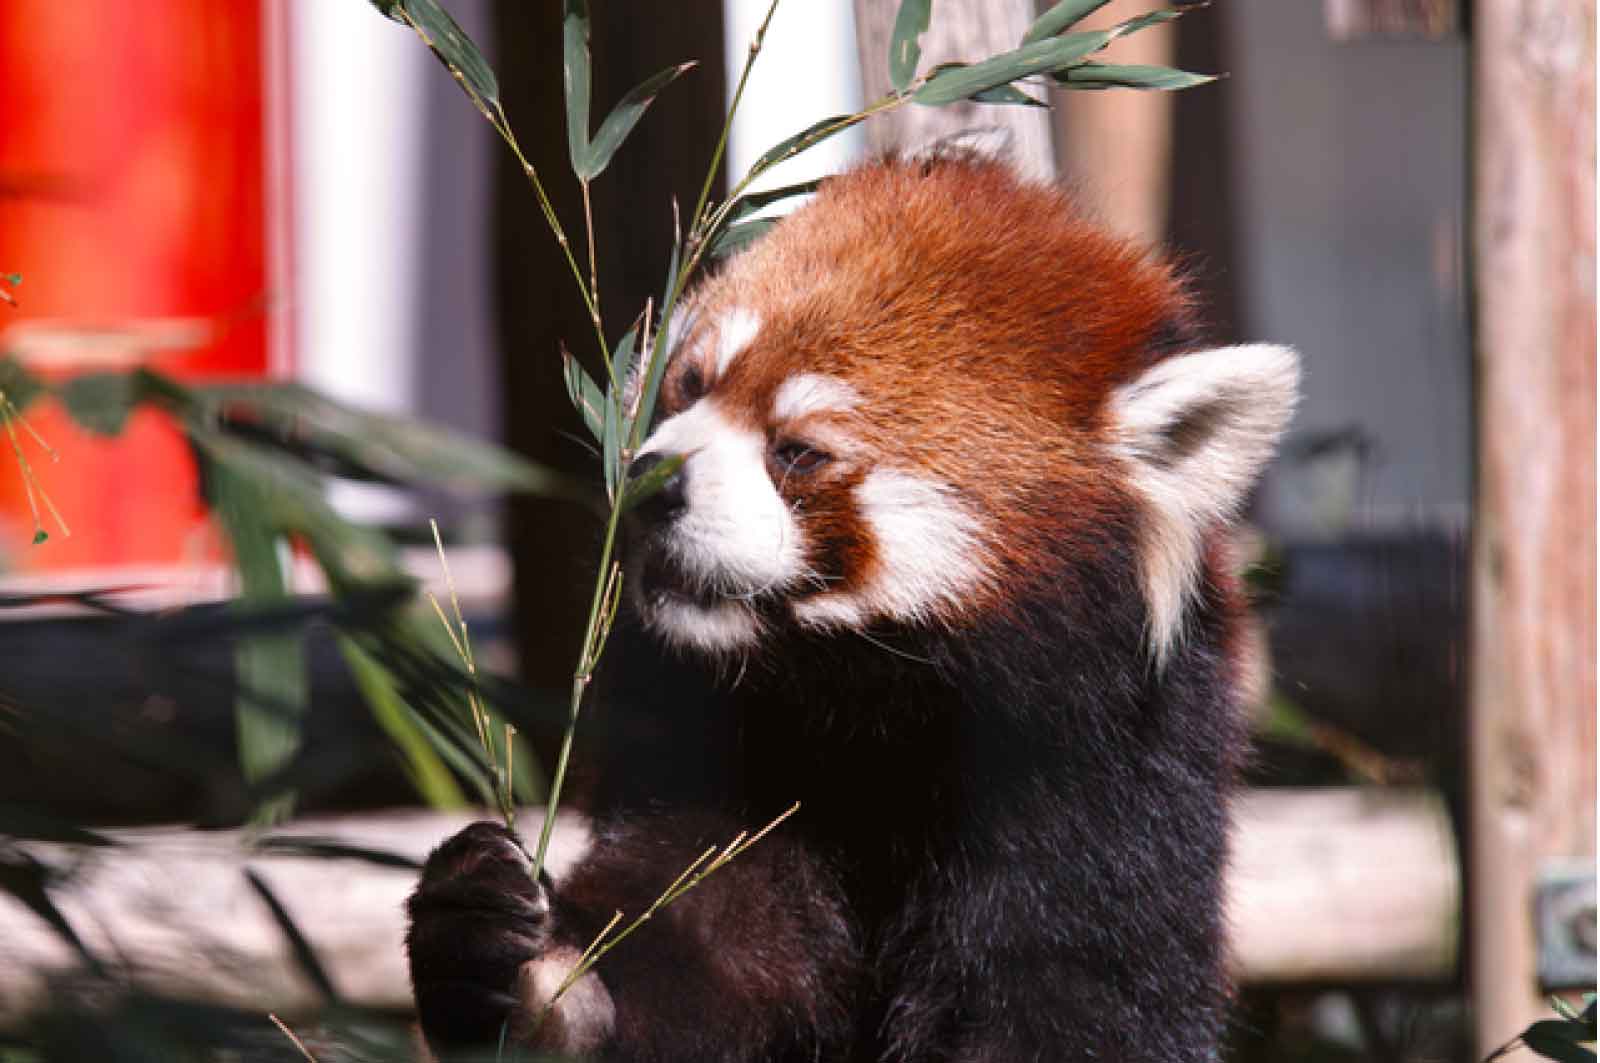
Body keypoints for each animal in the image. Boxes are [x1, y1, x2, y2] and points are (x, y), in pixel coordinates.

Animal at [403, 153, 1299, 1063]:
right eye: (690, 384)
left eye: (799, 452)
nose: (652, 481)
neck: (869, 721)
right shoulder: (731, 759)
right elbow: (707, 931)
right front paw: (531, 969)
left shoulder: (1105, 794)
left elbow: (1080, 995)